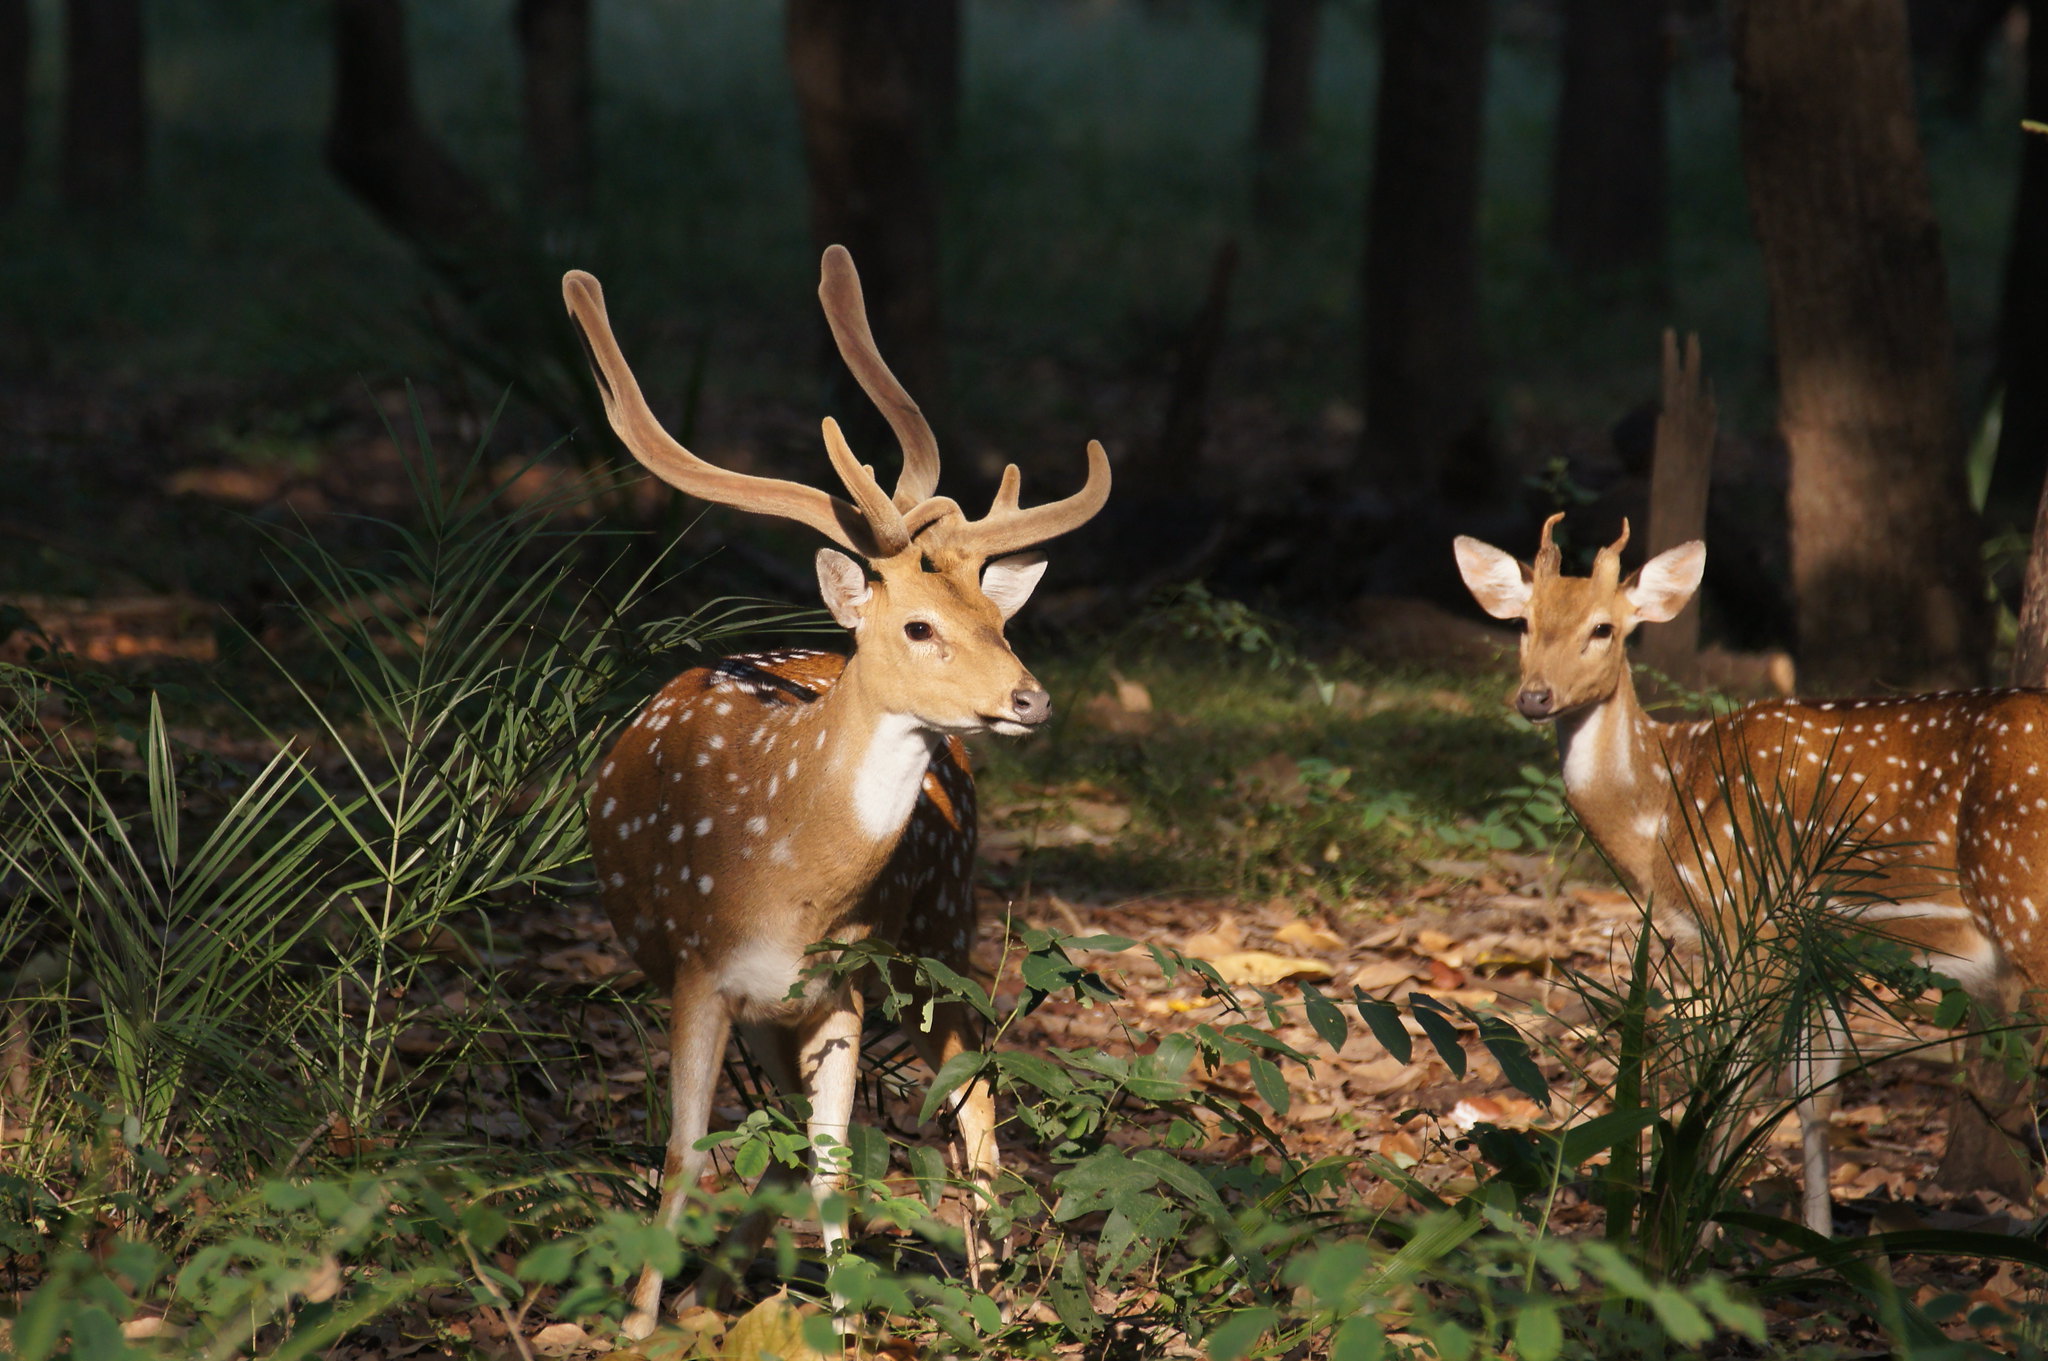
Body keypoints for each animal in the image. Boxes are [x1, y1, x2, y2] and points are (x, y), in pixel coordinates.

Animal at [566, 247, 1110, 1337]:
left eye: (997, 615)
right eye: (918, 625)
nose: (1028, 697)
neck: (785, 870)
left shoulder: (839, 977)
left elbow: (831, 1164)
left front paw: (848, 1326)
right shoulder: (700, 967)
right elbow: (689, 1154)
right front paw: (642, 1320)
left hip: (940, 922)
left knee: (971, 1082)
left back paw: (994, 1283)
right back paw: (722, 1286)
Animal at [1455, 514, 2045, 1236]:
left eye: (1603, 628)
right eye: (1524, 623)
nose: (1535, 696)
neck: (1662, 815)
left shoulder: (1746, 917)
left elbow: (1731, 1081)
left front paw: (1693, 1232)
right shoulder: (1816, 945)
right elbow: (1814, 1086)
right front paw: (1817, 1236)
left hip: (2025, 900)